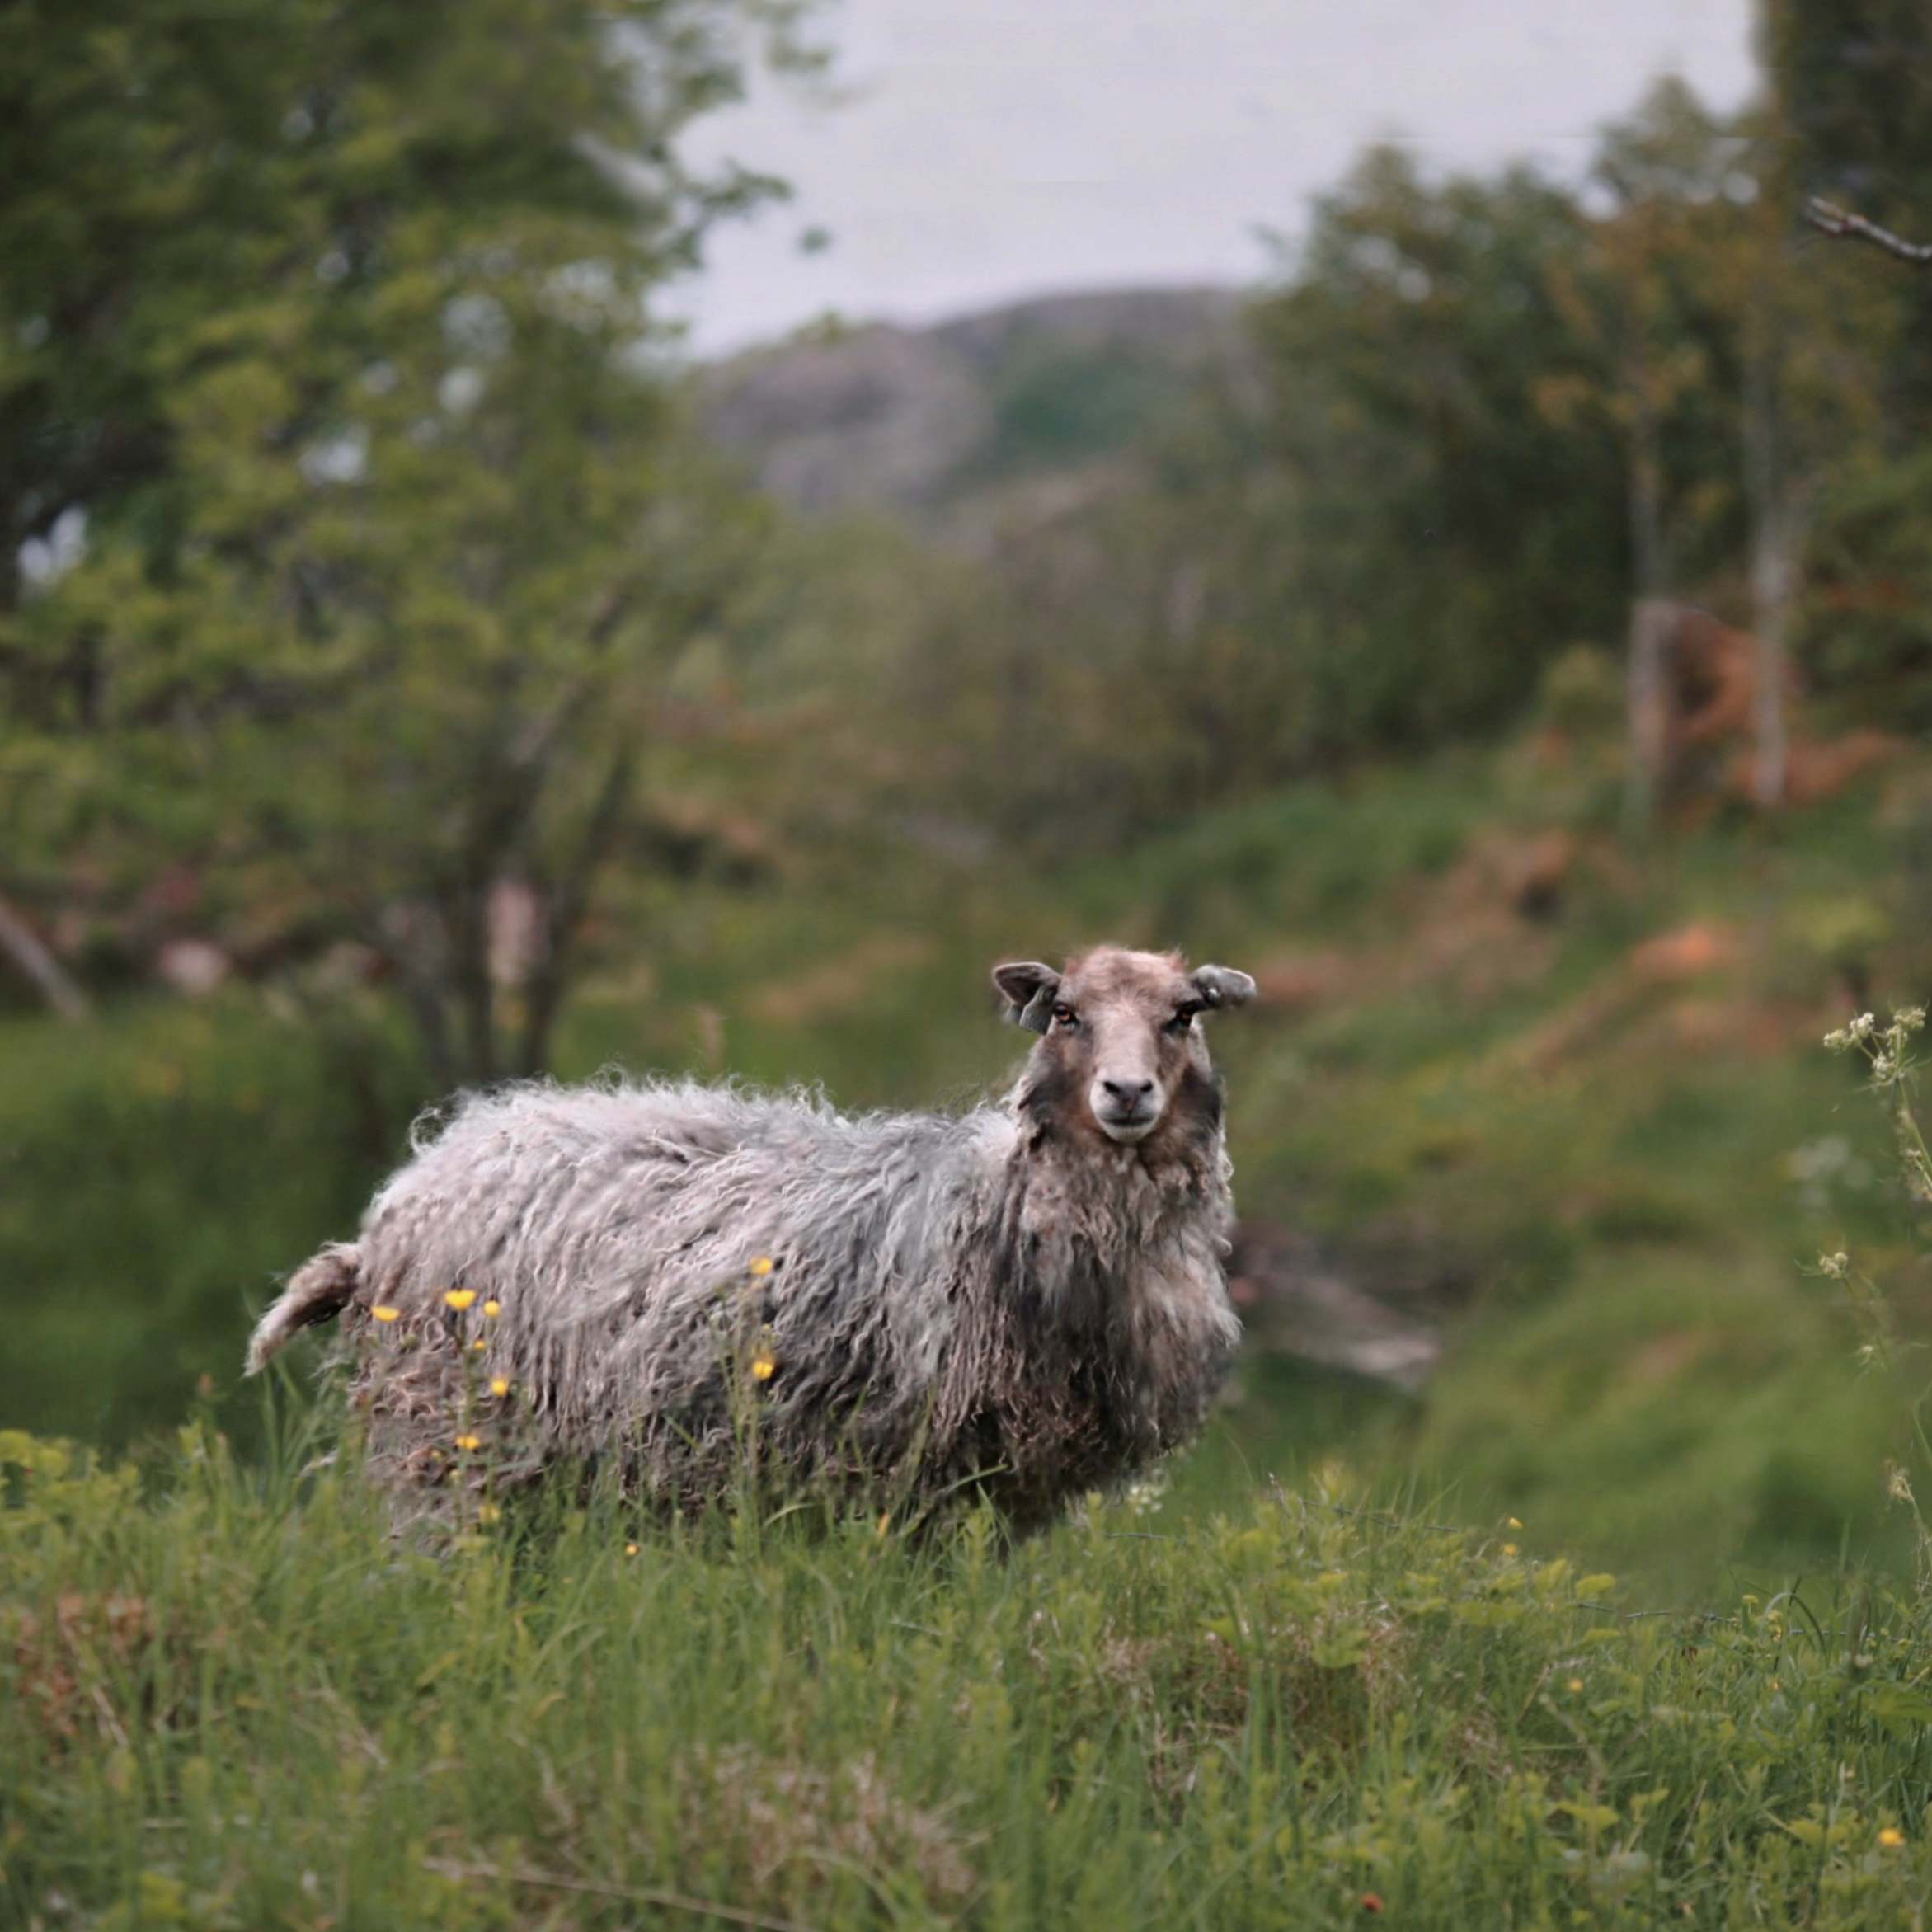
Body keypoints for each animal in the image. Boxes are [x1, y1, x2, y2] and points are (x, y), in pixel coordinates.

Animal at [245, 945, 1257, 1530]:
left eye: (1182, 1015)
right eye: (1067, 1014)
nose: (1127, 1093)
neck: (1002, 1211)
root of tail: (399, 1205)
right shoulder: (911, 1468)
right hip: (447, 1440)